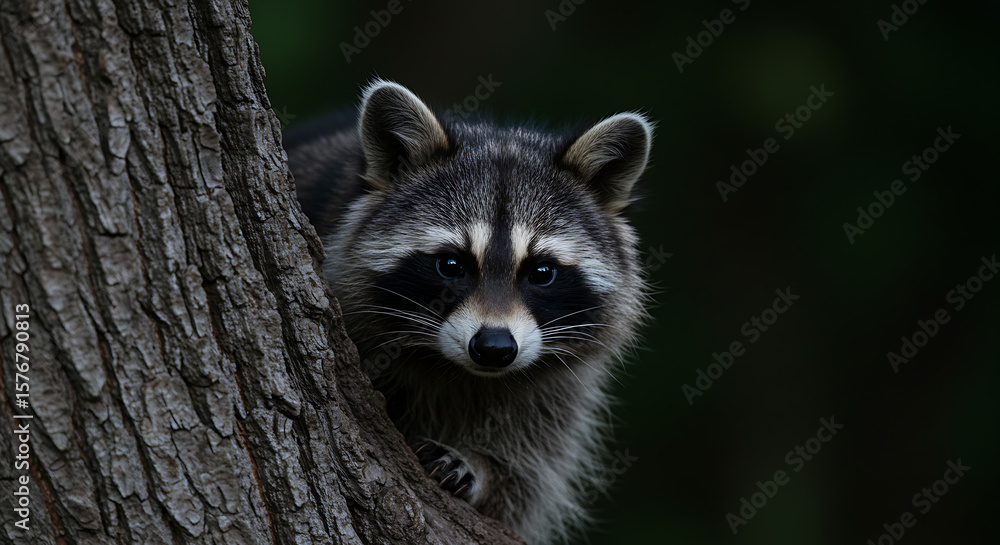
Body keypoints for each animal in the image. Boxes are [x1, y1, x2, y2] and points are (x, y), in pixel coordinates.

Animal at [285, 80, 652, 544]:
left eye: (542, 272)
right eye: (451, 264)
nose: (494, 348)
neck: (461, 372)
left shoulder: (559, 392)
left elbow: (527, 481)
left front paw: (484, 470)